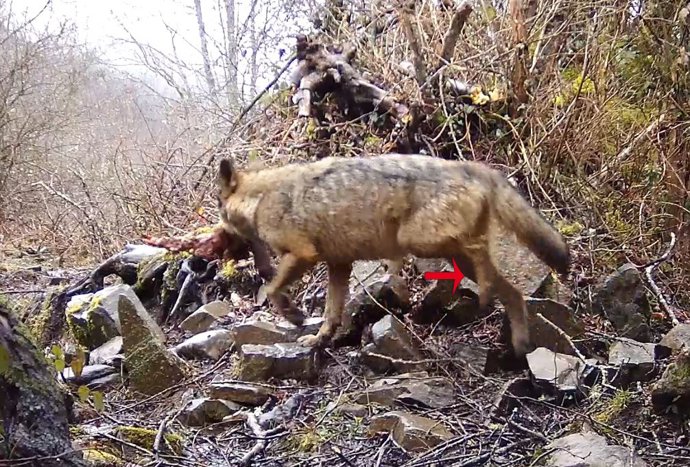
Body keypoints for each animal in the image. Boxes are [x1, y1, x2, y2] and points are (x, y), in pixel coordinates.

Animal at [216, 153, 570, 357]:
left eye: (219, 210)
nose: (216, 235)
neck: (261, 198)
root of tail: (472, 167)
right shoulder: (339, 265)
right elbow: (331, 314)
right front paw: (318, 340)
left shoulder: (303, 254)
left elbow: (274, 289)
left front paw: (294, 315)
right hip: (450, 254)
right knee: (513, 293)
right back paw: (520, 346)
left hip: (424, 243)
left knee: (483, 256)